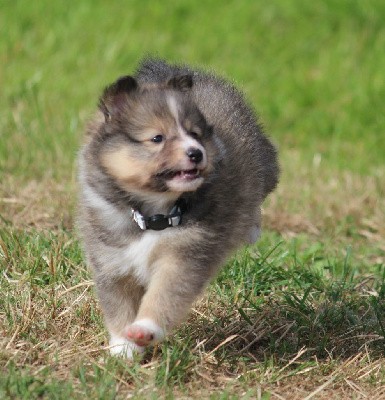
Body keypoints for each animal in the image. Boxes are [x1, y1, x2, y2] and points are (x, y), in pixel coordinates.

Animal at [76, 57, 278, 358]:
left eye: (194, 134)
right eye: (157, 138)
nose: (196, 153)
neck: (152, 213)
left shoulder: (183, 255)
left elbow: (163, 295)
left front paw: (144, 330)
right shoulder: (112, 262)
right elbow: (118, 307)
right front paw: (123, 348)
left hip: (265, 167)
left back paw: (252, 228)